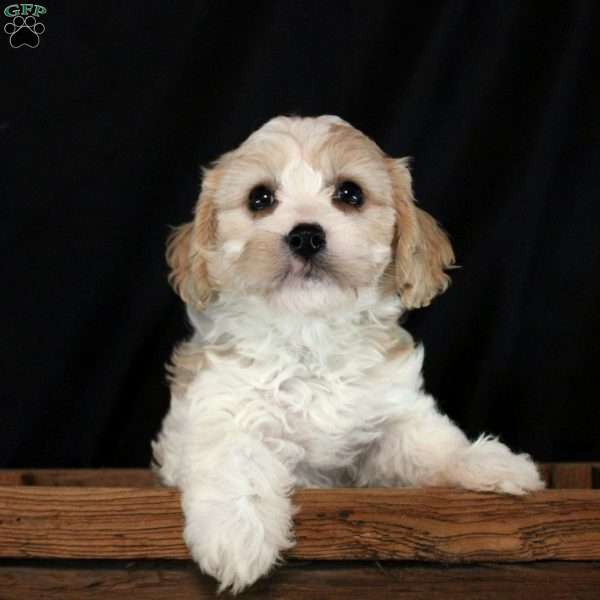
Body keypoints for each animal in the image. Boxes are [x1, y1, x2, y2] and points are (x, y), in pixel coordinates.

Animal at [151, 115, 544, 592]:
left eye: (350, 193)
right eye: (260, 198)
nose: (305, 235)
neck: (310, 336)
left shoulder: (387, 422)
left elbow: (430, 445)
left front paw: (485, 461)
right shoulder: (218, 406)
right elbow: (235, 456)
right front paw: (238, 532)